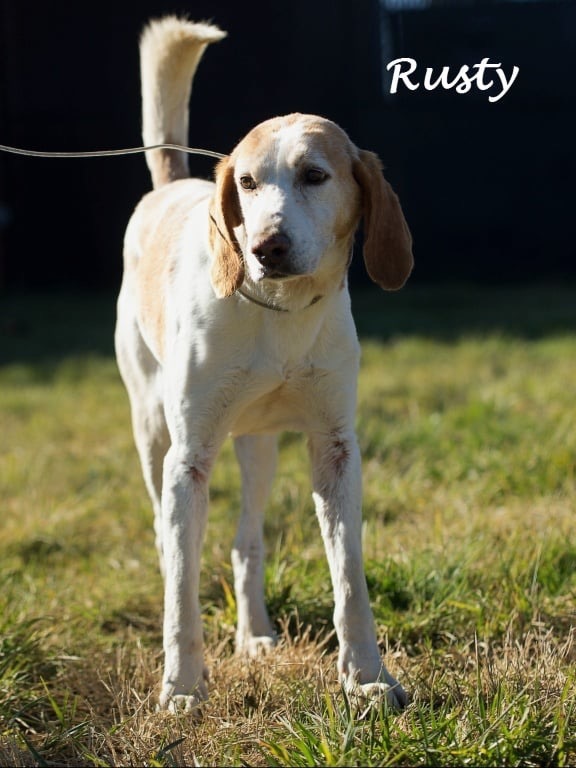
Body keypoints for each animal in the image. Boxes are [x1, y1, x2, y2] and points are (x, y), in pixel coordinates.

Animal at [116, 15, 414, 712]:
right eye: (247, 184)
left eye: (315, 176)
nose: (264, 247)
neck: (280, 313)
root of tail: (172, 186)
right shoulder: (188, 460)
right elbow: (180, 593)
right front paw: (182, 687)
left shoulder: (334, 450)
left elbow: (351, 582)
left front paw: (368, 676)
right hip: (152, 430)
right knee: (168, 540)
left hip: (258, 445)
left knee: (246, 542)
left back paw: (254, 634)